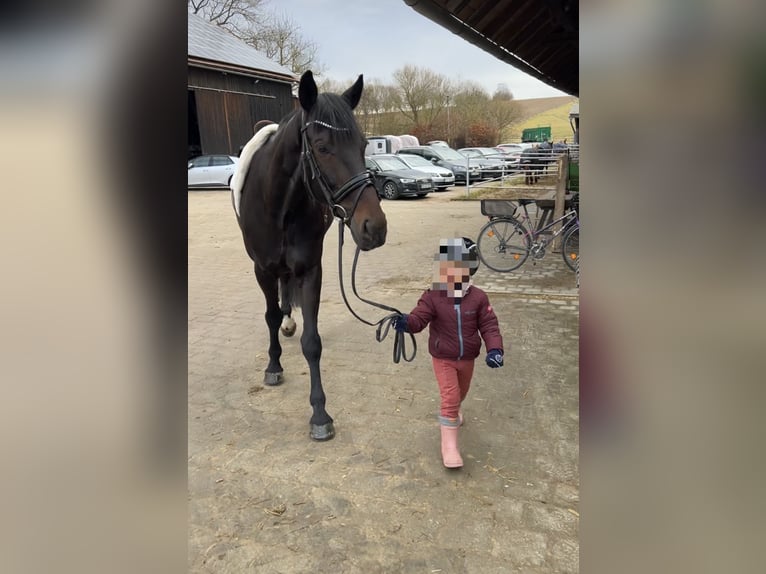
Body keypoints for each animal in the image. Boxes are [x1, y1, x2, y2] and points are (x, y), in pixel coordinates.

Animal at [230, 71, 388, 440]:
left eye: (364, 145)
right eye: (322, 147)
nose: (374, 227)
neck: (278, 205)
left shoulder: (310, 269)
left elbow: (312, 342)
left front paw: (319, 413)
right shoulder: (261, 269)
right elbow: (270, 316)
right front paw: (273, 366)